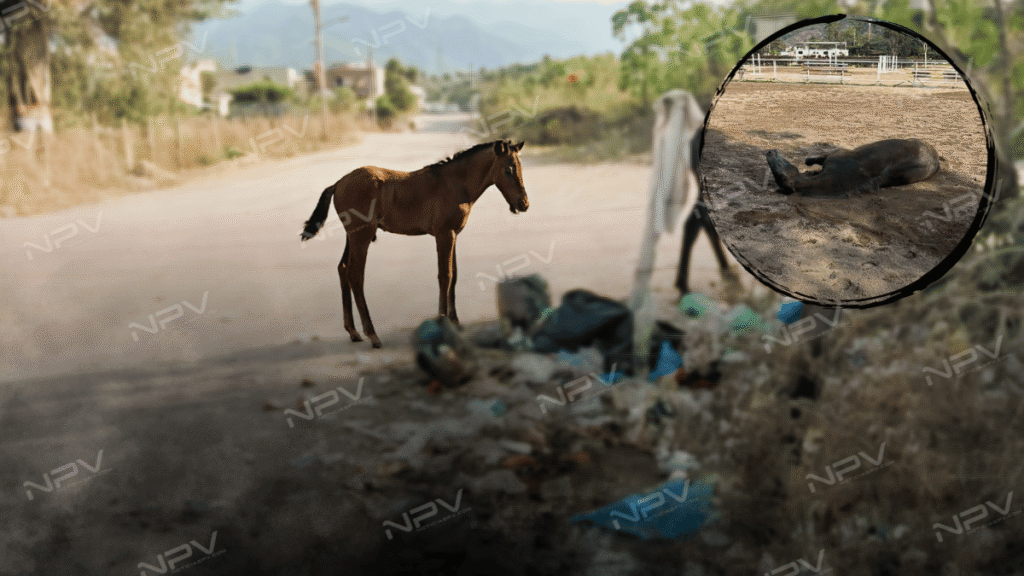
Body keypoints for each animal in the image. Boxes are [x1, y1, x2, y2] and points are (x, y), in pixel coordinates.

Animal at [300, 139, 528, 348]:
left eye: (520, 168)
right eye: (508, 170)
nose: (523, 204)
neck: (455, 183)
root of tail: (339, 182)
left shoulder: (454, 235)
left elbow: (454, 275)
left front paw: (455, 321)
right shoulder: (444, 235)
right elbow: (444, 276)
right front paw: (442, 321)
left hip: (353, 237)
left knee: (343, 269)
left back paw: (353, 332)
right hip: (362, 237)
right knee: (355, 276)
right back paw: (372, 335)